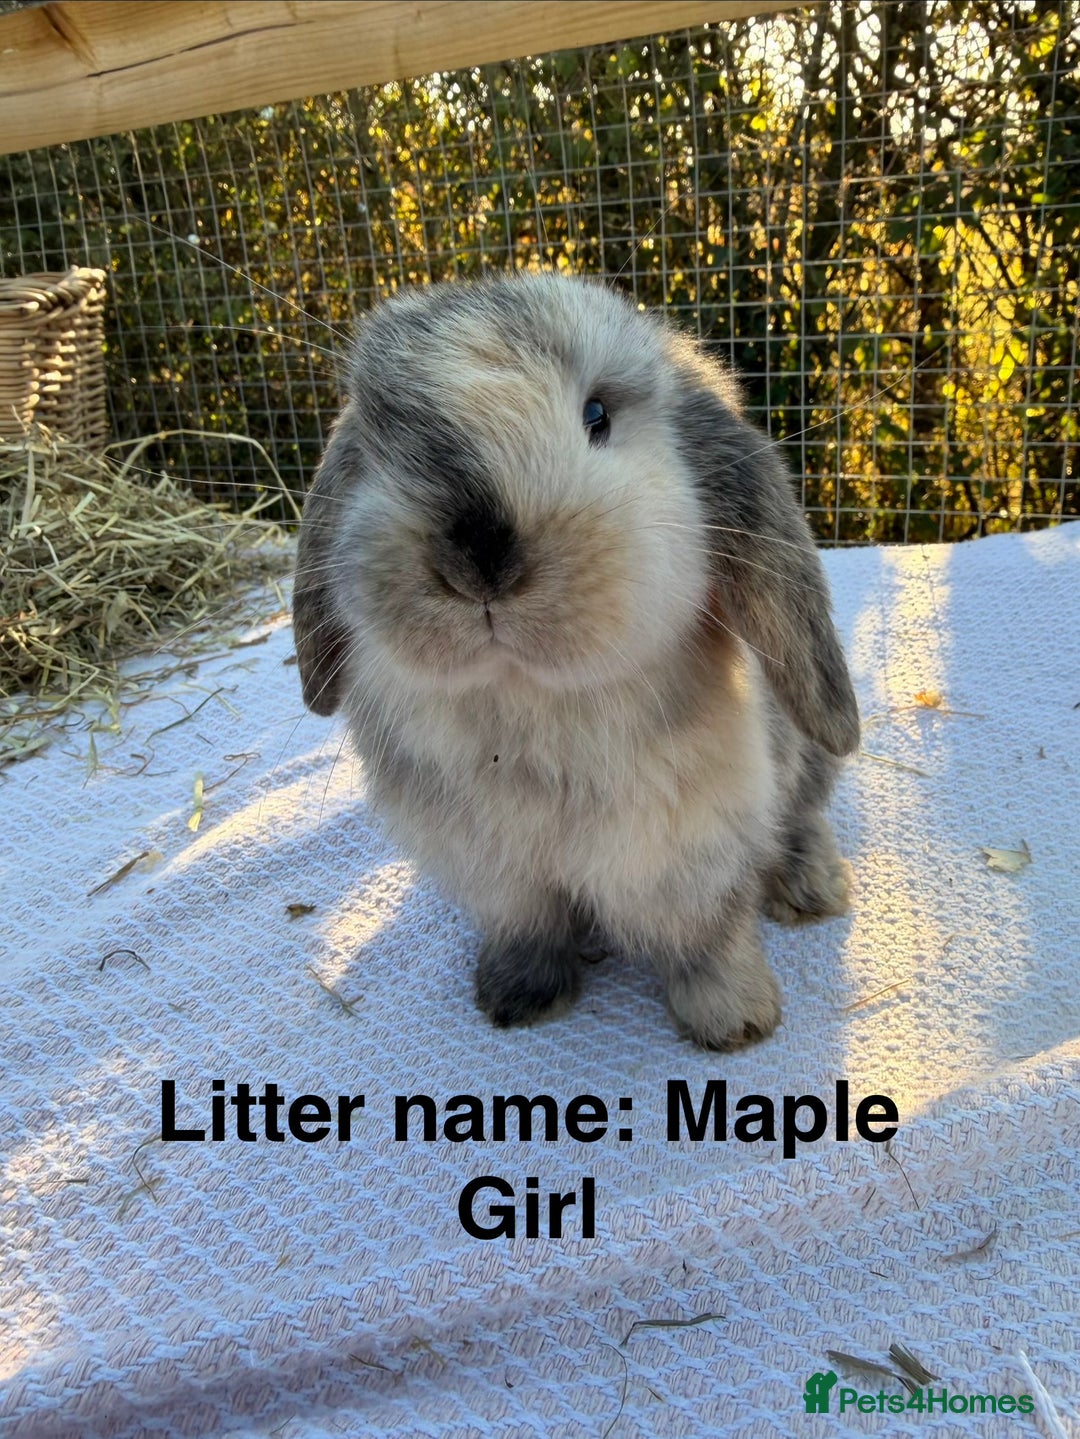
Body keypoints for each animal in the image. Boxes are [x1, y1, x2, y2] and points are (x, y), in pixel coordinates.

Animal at [292, 272, 859, 1050]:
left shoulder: (689, 850)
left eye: (597, 415)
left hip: (804, 750)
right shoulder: (498, 872)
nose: (480, 557)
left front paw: (737, 1021)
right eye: (384, 438)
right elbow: (529, 930)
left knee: (803, 816)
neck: (528, 707)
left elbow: (707, 938)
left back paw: (811, 888)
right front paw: (515, 997)